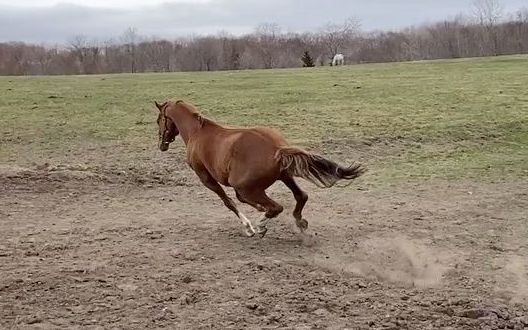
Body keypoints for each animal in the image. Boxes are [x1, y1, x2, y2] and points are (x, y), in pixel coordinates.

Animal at [155, 100, 366, 237]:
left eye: (159, 120)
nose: (161, 145)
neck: (197, 132)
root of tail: (277, 148)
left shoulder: (205, 178)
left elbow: (229, 202)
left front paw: (248, 227)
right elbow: (239, 201)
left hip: (247, 186)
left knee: (276, 207)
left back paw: (261, 225)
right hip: (284, 175)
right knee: (301, 196)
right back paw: (299, 222)